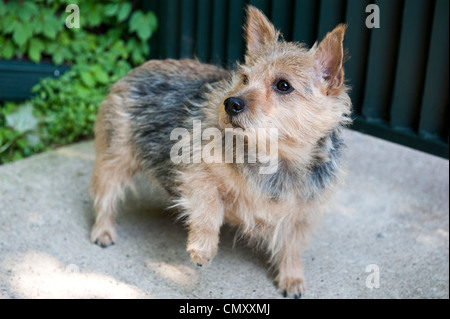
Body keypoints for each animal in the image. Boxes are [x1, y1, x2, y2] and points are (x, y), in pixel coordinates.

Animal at [90, 6, 352, 298]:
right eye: (244, 78)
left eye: (283, 85)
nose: (231, 103)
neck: (273, 157)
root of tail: (139, 67)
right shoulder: (195, 170)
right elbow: (209, 206)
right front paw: (203, 247)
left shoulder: (302, 212)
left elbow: (293, 246)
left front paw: (292, 276)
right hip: (114, 159)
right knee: (105, 196)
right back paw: (103, 230)